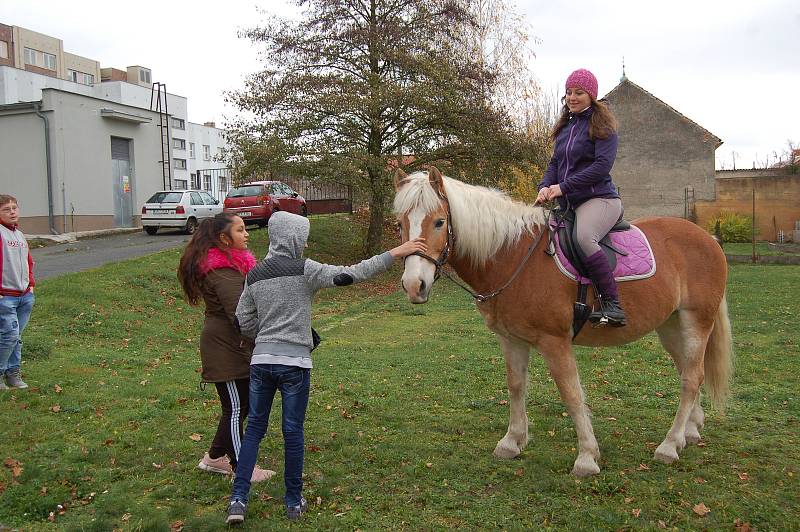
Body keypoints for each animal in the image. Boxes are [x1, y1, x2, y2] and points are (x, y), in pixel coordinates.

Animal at [390, 167, 736, 478]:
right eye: (400, 223)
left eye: (439, 222)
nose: (414, 285)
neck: (513, 257)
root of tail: (708, 238)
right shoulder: (510, 338)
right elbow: (516, 385)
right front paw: (512, 442)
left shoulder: (554, 341)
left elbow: (571, 393)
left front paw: (586, 457)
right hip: (671, 325)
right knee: (690, 371)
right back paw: (688, 432)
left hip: (696, 321)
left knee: (691, 378)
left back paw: (668, 445)